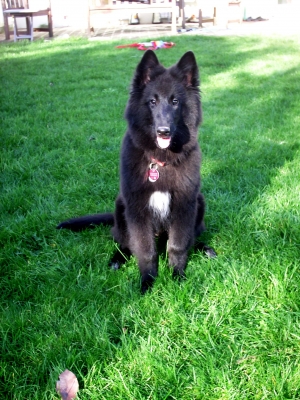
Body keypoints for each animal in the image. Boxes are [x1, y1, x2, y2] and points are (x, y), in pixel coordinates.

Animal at [57, 50, 214, 294]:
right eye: (152, 101)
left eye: (175, 101)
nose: (163, 131)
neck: (160, 162)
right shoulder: (137, 209)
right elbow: (146, 251)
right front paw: (147, 284)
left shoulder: (184, 205)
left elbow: (177, 246)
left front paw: (178, 279)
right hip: (120, 207)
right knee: (124, 242)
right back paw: (117, 259)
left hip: (200, 202)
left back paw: (203, 248)